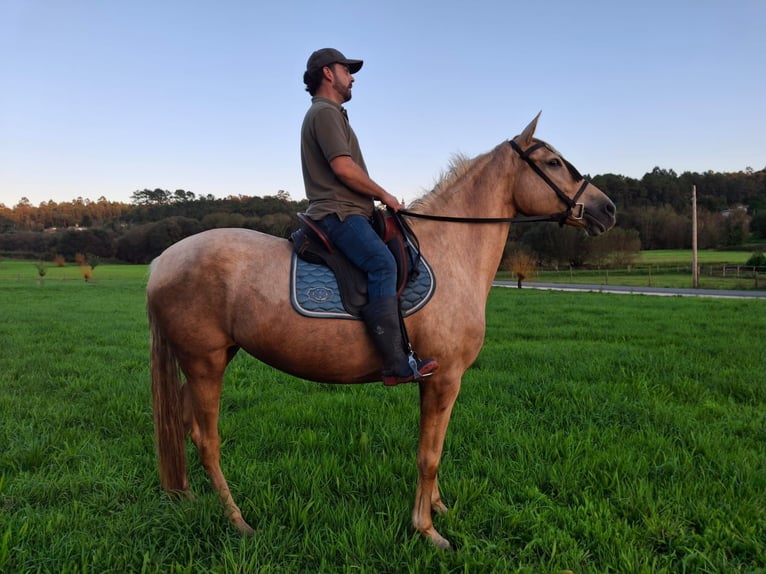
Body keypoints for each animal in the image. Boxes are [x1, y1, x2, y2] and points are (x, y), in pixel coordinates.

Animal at [148, 115, 616, 552]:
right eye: (553, 162)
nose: (607, 209)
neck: (449, 249)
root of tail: (161, 262)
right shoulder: (445, 378)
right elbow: (428, 455)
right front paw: (427, 529)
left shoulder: (437, 381)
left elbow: (436, 446)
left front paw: (437, 507)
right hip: (205, 363)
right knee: (207, 441)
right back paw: (238, 521)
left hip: (212, 359)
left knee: (186, 426)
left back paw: (188, 499)